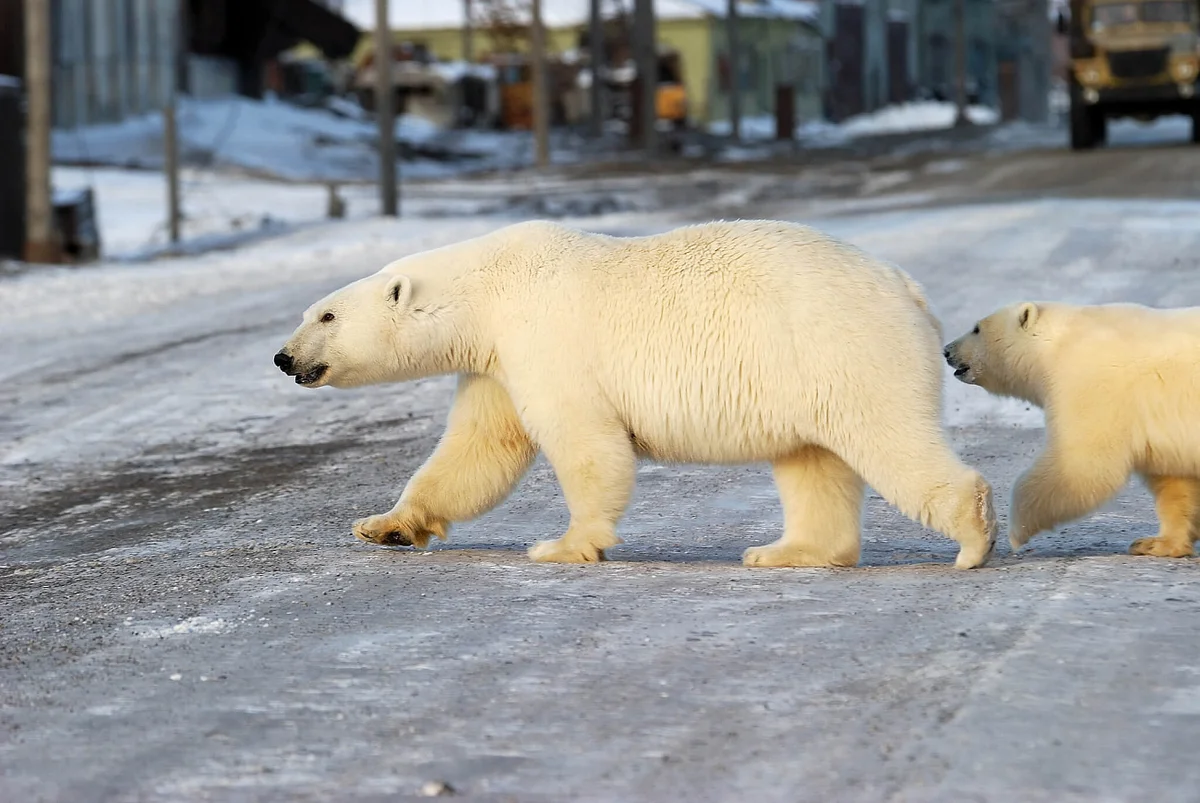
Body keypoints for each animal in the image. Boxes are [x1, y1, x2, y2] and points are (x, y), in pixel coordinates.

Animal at [276, 219, 998, 566]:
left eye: (326, 316)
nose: (284, 358)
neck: (487, 289)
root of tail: (907, 287)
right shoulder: (496, 363)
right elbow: (477, 448)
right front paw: (384, 526)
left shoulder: (545, 337)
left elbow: (583, 441)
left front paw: (564, 545)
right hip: (807, 374)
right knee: (811, 461)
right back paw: (786, 552)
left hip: (844, 349)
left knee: (888, 438)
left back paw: (971, 537)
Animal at [940, 300, 1200, 556]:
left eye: (976, 328)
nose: (946, 350)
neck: (1057, 346)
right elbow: (1174, 481)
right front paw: (1156, 543)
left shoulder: (1091, 385)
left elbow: (1081, 463)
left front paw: (1017, 530)